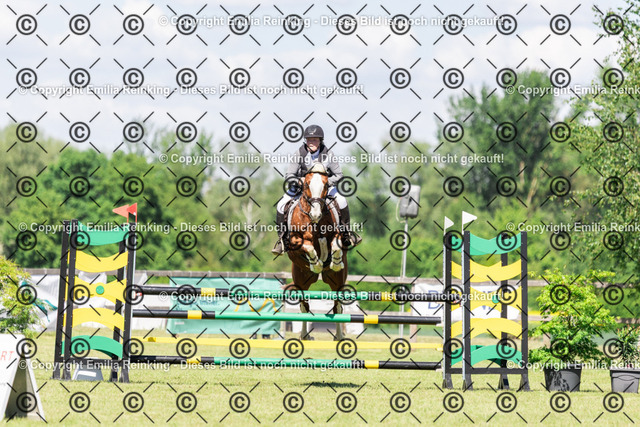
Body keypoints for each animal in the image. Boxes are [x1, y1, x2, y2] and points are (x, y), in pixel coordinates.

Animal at [284, 163, 347, 341]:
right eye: (306, 184)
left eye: (326, 185)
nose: (315, 214)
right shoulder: (295, 241)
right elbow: (309, 247)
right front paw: (317, 264)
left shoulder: (337, 234)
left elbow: (335, 245)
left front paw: (334, 261)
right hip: (301, 280)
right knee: (304, 306)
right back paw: (305, 335)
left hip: (337, 281)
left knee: (337, 305)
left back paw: (339, 336)